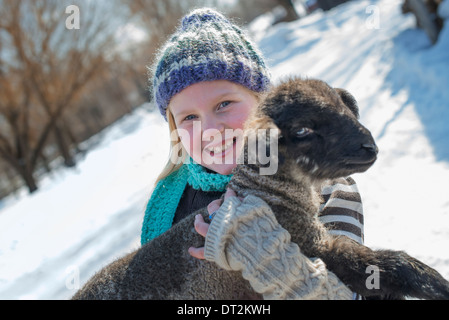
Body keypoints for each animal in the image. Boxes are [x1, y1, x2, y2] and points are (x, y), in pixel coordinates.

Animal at [72, 77, 448, 300]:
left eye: (345, 108)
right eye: (303, 130)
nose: (369, 147)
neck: (269, 192)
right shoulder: (315, 248)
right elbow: (385, 265)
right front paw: (436, 284)